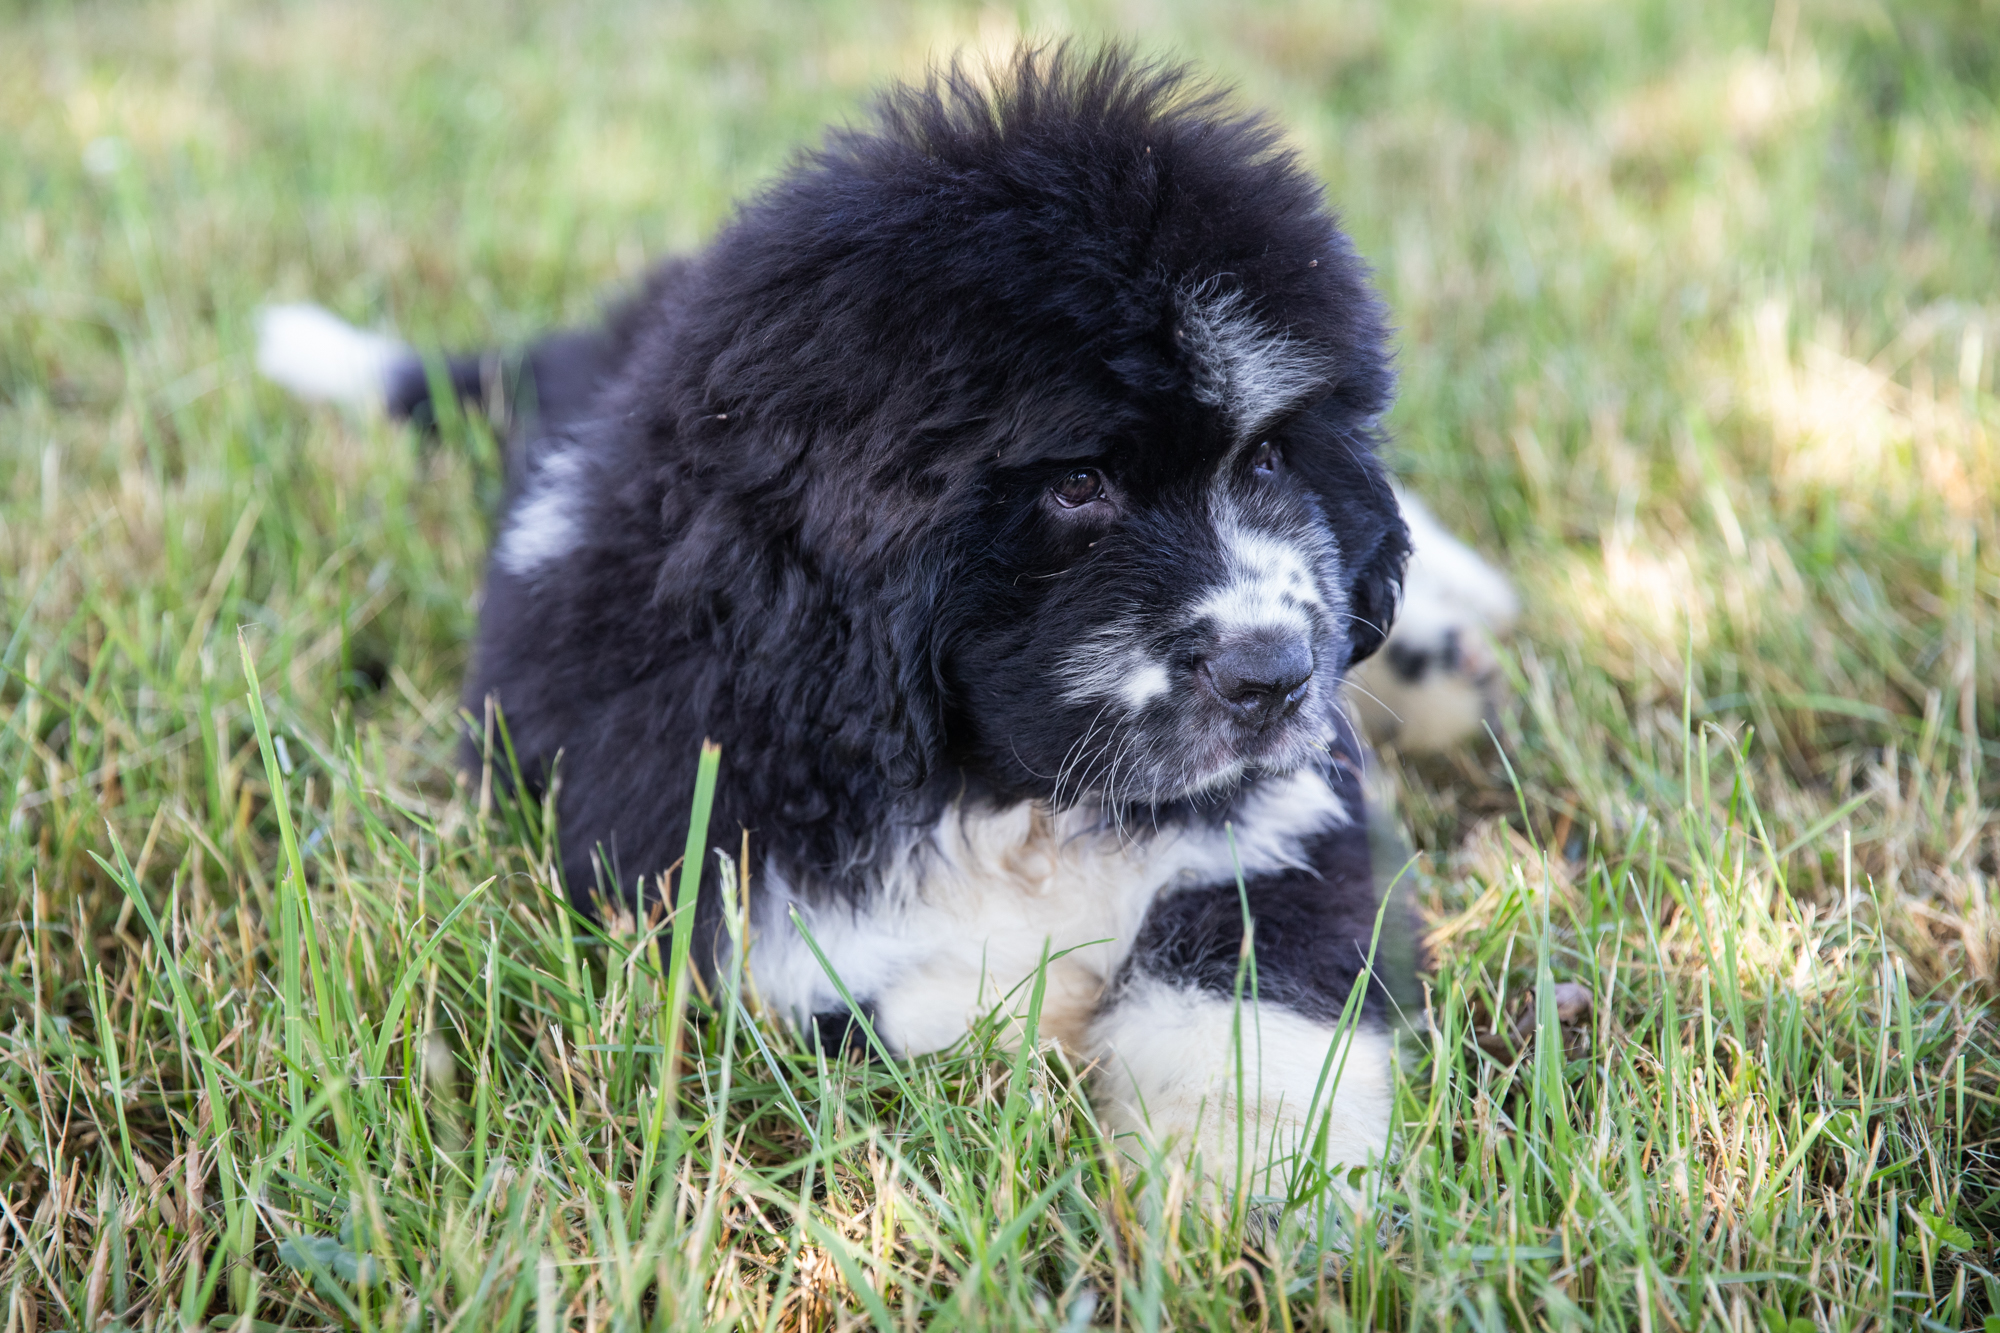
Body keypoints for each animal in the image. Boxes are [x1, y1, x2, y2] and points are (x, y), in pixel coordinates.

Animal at [262, 49, 1424, 1192]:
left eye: (1265, 457)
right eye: (1078, 486)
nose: (1274, 675)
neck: (999, 799)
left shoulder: (1288, 820)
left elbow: (1251, 971)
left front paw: (1244, 1170)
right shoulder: (722, 902)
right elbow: (927, 1012)